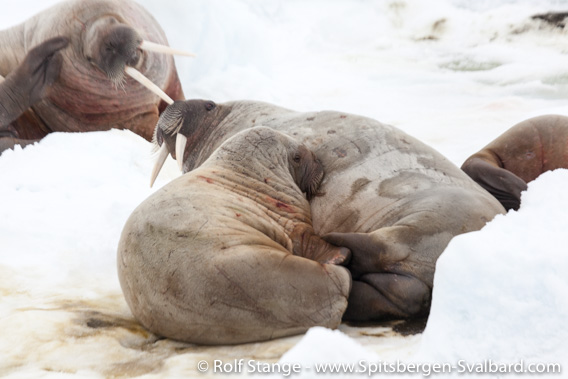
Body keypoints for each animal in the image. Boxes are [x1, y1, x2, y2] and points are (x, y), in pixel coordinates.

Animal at [117, 126, 350, 346]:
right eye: (297, 157)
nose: (318, 159)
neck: (249, 173)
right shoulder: (290, 216)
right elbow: (307, 238)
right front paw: (340, 254)